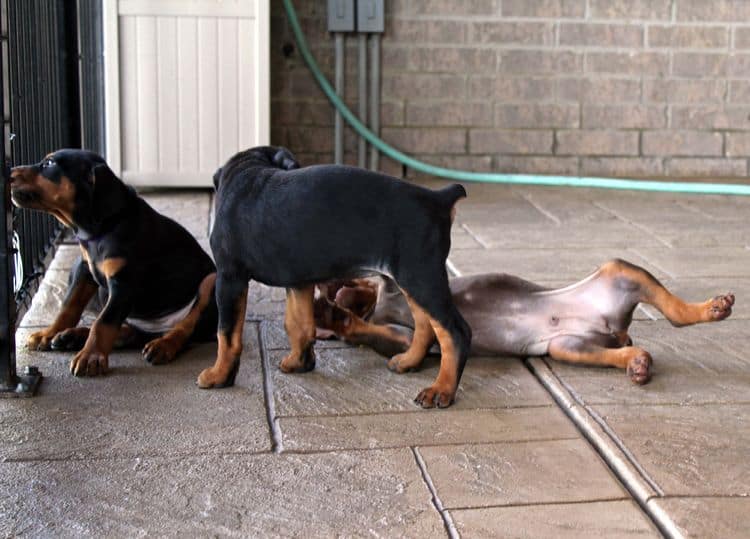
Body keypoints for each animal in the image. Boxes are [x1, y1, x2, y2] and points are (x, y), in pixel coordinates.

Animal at [11, 148, 217, 376]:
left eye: (49, 164)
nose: (8, 173)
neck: (102, 227)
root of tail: (157, 329)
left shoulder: (124, 283)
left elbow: (103, 323)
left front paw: (90, 357)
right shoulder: (85, 269)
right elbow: (69, 306)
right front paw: (48, 334)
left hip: (210, 282)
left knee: (184, 327)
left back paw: (163, 345)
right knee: (129, 332)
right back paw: (70, 337)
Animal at [200, 146, 470, 408]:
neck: (249, 168)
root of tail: (439, 199)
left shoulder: (229, 277)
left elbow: (226, 333)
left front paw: (219, 375)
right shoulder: (298, 281)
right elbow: (298, 323)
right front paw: (299, 363)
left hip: (420, 276)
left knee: (456, 331)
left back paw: (442, 389)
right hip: (413, 279)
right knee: (426, 325)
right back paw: (409, 362)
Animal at [314, 258, 736, 384]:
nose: (334, 288)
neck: (377, 302)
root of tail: (615, 328)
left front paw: (336, 309)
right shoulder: (398, 335)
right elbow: (385, 334)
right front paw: (336, 317)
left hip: (617, 273)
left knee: (676, 314)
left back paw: (712, 308)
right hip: (568, 346)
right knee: (620, 349)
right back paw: (637, 362)